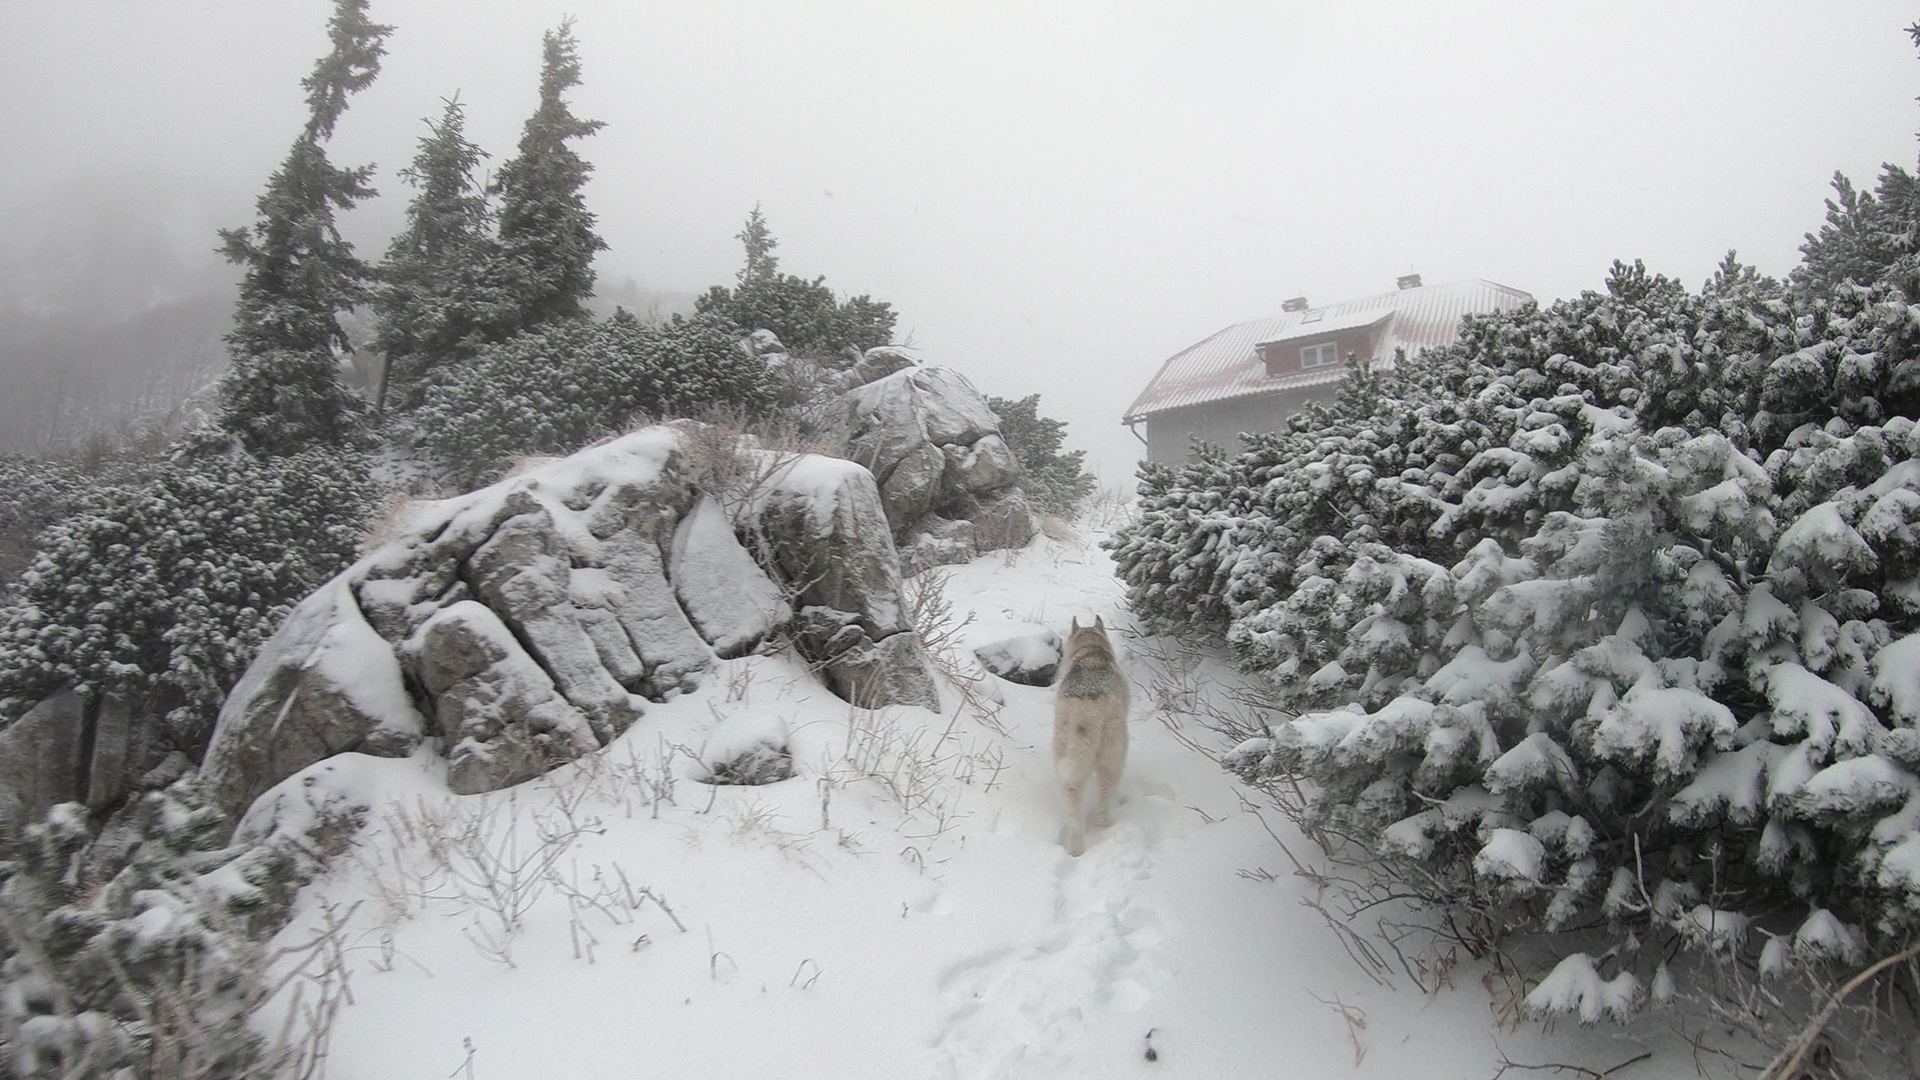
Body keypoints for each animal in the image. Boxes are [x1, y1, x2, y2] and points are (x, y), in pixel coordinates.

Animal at [1059, 618, 1128, 853]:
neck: (1090, 653)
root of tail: (1085, 707)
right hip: (1113, 755)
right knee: (1105, 793)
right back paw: (1105, 821)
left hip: (1065, 752)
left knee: (1071, 800)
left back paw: (1076, 845)